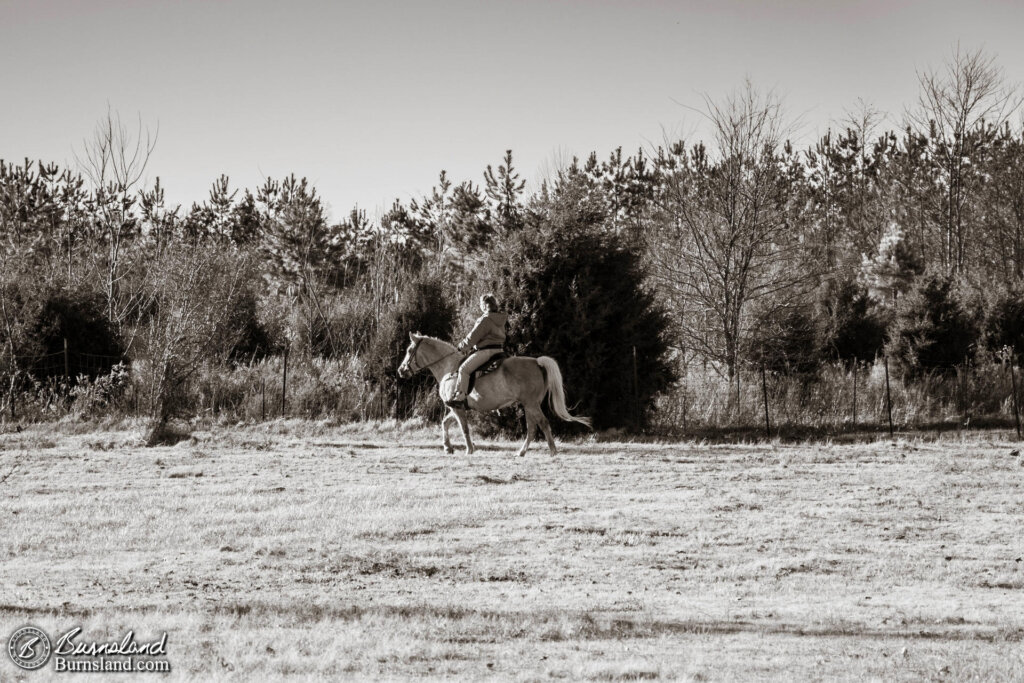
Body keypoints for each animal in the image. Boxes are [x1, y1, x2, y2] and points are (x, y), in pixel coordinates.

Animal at [399, 333, 593, 456]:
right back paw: (521, 452)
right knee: (532, 428)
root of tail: (537, 362)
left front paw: (469, 449)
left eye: (409, 350)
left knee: (543, 424)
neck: (450, 368)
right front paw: (448, 447)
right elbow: (445, 423)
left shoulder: (457, 408)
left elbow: (464, 428)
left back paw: (552, 451)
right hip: (529, 405)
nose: (401, 370)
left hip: (531, 404)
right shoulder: (456, 408)